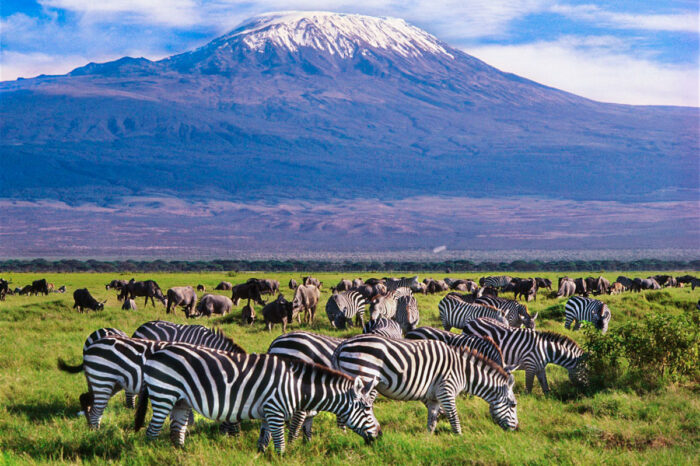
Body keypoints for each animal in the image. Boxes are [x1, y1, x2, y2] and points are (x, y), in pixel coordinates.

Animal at [133, 346, 380, 452]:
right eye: (367, 409)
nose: (380, 435)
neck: (295, 385)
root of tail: (156, 353)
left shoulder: (267, 412)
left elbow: (264, 440)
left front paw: (262, 455)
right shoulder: (276, 409)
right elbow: (280, 443)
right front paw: (281, 457)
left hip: (181, 401)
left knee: (177, 431)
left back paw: (181, 453)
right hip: (164, 393)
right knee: (152, 432)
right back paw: (149, 451)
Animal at [332, 334, 520, 434]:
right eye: (513, 405)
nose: (517, 429)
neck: (464, 372)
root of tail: (343, 344)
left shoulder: (434, 397)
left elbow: (432, 419)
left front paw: (428, 439)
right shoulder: (446, 389)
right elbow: (453, 416)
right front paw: (460, 438)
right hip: (363, 376)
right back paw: (344, 436)